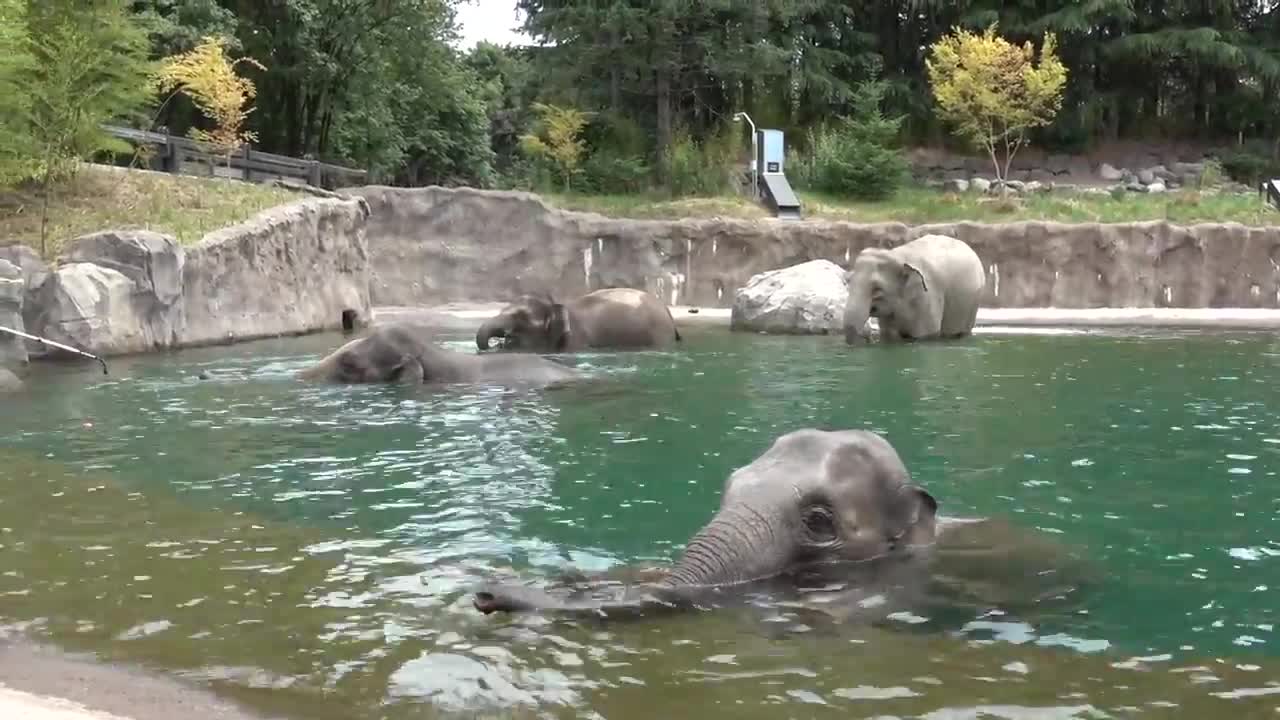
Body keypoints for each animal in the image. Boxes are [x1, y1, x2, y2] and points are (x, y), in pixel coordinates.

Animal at [844, 229, 983, 340]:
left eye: (877, 289)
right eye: (848, 282)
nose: (867, 337)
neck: (896, 255)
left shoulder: (928, 295)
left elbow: (925, 333)